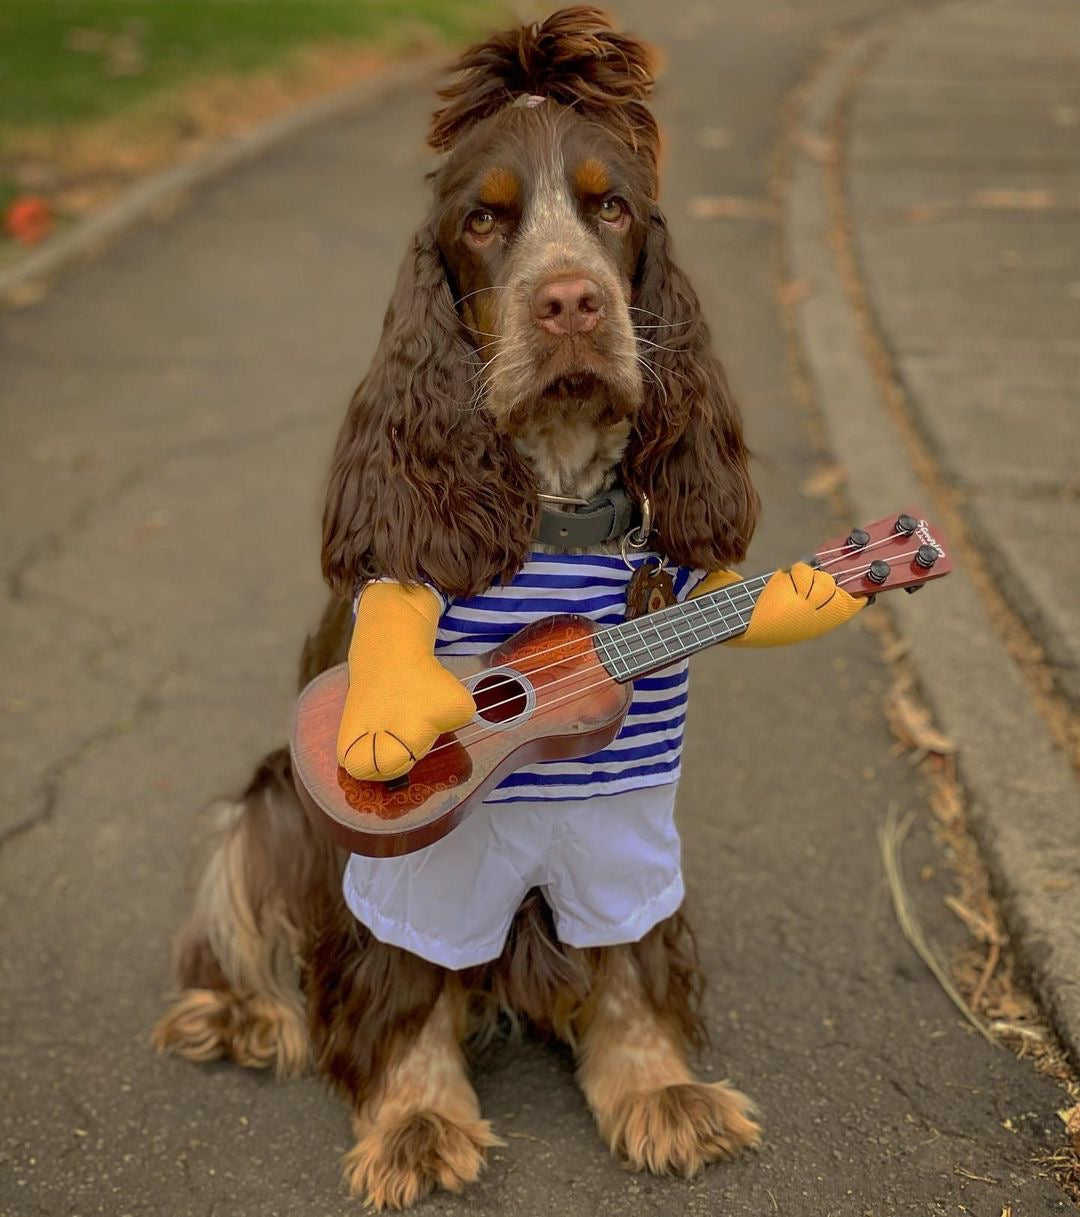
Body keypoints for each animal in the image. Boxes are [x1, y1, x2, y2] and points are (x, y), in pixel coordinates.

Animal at [154, 9, 769, 1207]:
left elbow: (629, 963)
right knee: (235, 918)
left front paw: (660, 1089)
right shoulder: (414, 863)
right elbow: (404, 983)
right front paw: (416, 1120)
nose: (571, 301)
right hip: (268, 803)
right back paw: (237, 1012)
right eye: (485, 221)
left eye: (611, 208)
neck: (555, 503)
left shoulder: (622, 815)